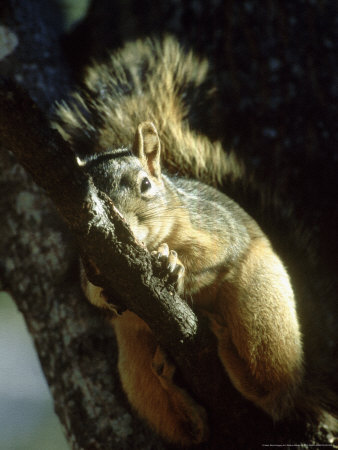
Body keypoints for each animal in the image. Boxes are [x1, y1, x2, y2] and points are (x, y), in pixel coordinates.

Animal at [54, 37, 336, 444]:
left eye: (145, 184)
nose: (121, 225)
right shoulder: (89, 261)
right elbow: (91, 294)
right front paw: (107, 291)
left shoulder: (215, 229)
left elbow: (213, 258)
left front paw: (174, 265)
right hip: (133, 355)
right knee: (187, 427)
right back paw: (179, 395)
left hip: (261, 303)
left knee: (274, 390)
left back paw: (235, 356)